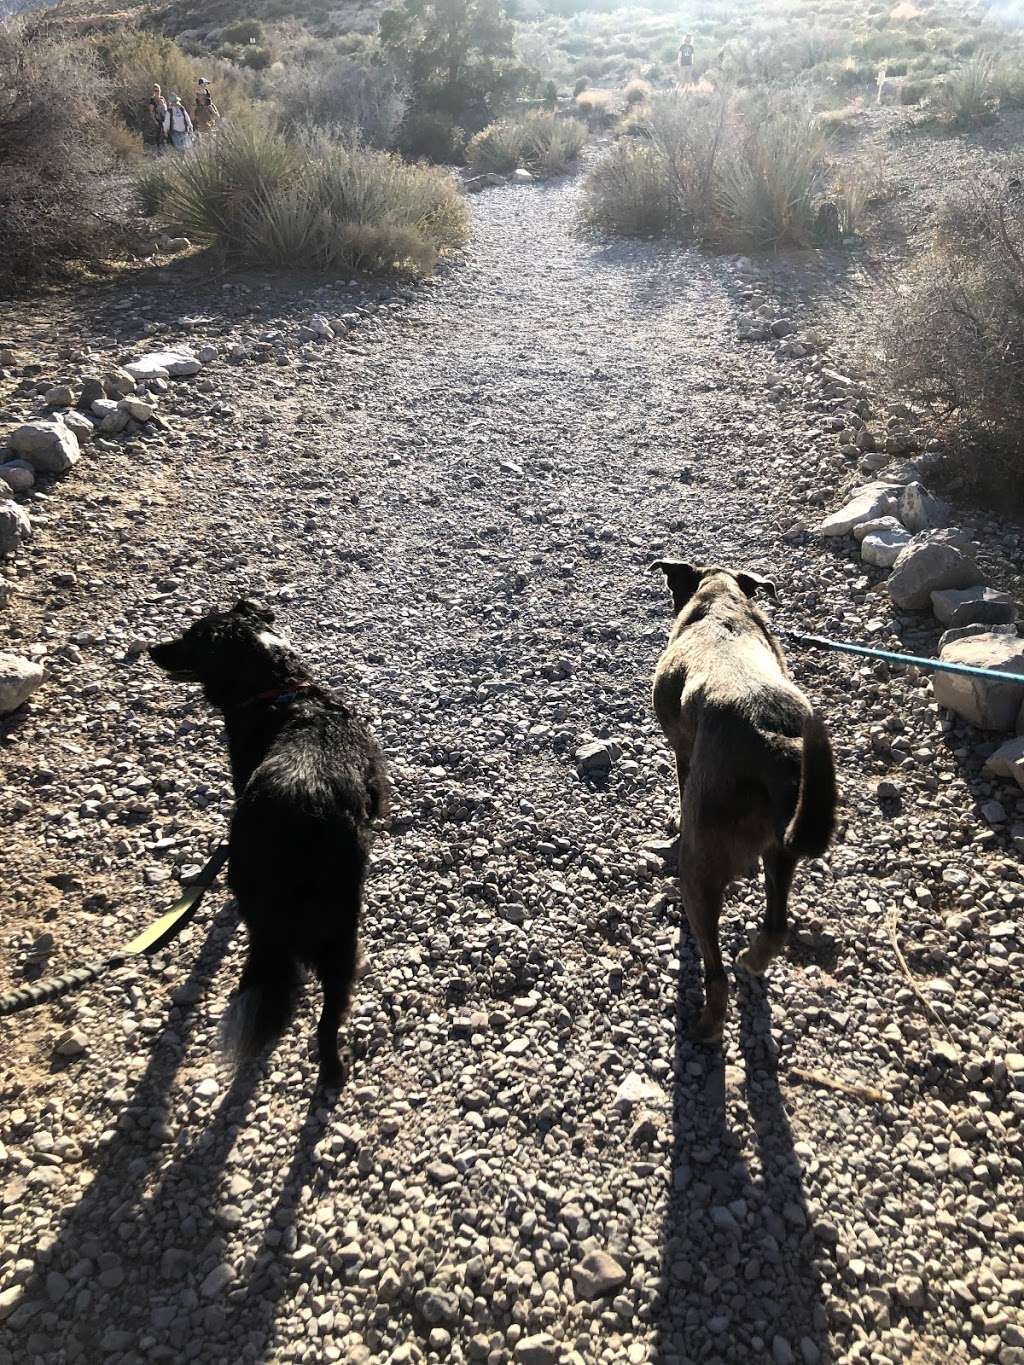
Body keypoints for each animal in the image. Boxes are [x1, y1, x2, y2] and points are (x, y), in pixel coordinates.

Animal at [152, 606, 387, 1086]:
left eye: (190, 638)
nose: (150, 650)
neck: (279, 690)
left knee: (323, 1016)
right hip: (335, 931)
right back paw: (334, 1071)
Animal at [652, 559, 835, 1037]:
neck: (720, 600)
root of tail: (774, 741)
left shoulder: (683, 750)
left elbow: (681, 788)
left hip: (700, 870)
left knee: (714, 972)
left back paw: (707, 1026)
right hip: (782, 849)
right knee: (775, 928)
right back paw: (752, 959)